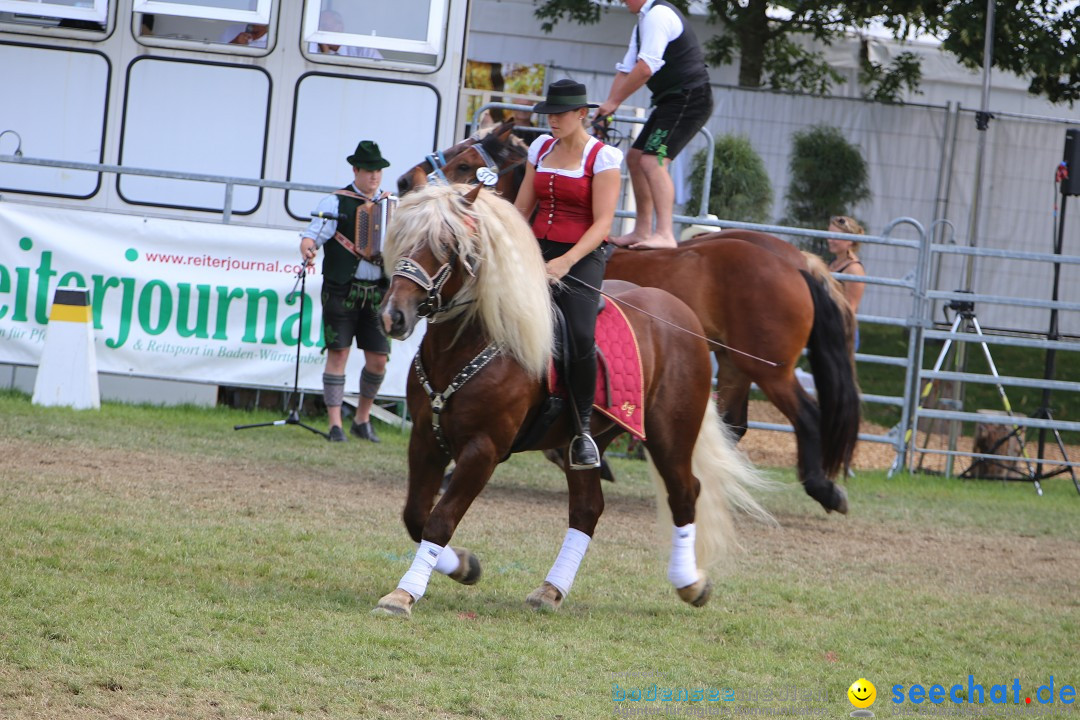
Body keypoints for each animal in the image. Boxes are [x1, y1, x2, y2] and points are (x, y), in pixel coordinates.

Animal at [371, 184, 768, 621]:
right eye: (401, 237)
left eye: (445, 244)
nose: (393, 316)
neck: (467, 345)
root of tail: (681, 314)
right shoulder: (426, 439)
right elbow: (415, 516)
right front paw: (463, 566)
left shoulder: (482, 450)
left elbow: (439, 520)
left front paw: (404, 594)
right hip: (583, 443)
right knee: (587, 507)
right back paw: (551, 589)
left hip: (671, 435)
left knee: (684, 493)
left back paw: (690, 583)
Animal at [397, 126, 859, 515]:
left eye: (463, 164)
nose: (405, 182)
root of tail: (794, 259)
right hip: (733, 365)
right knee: (735, 424)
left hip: (771, 369)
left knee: (807, 416)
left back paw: (824, 488)